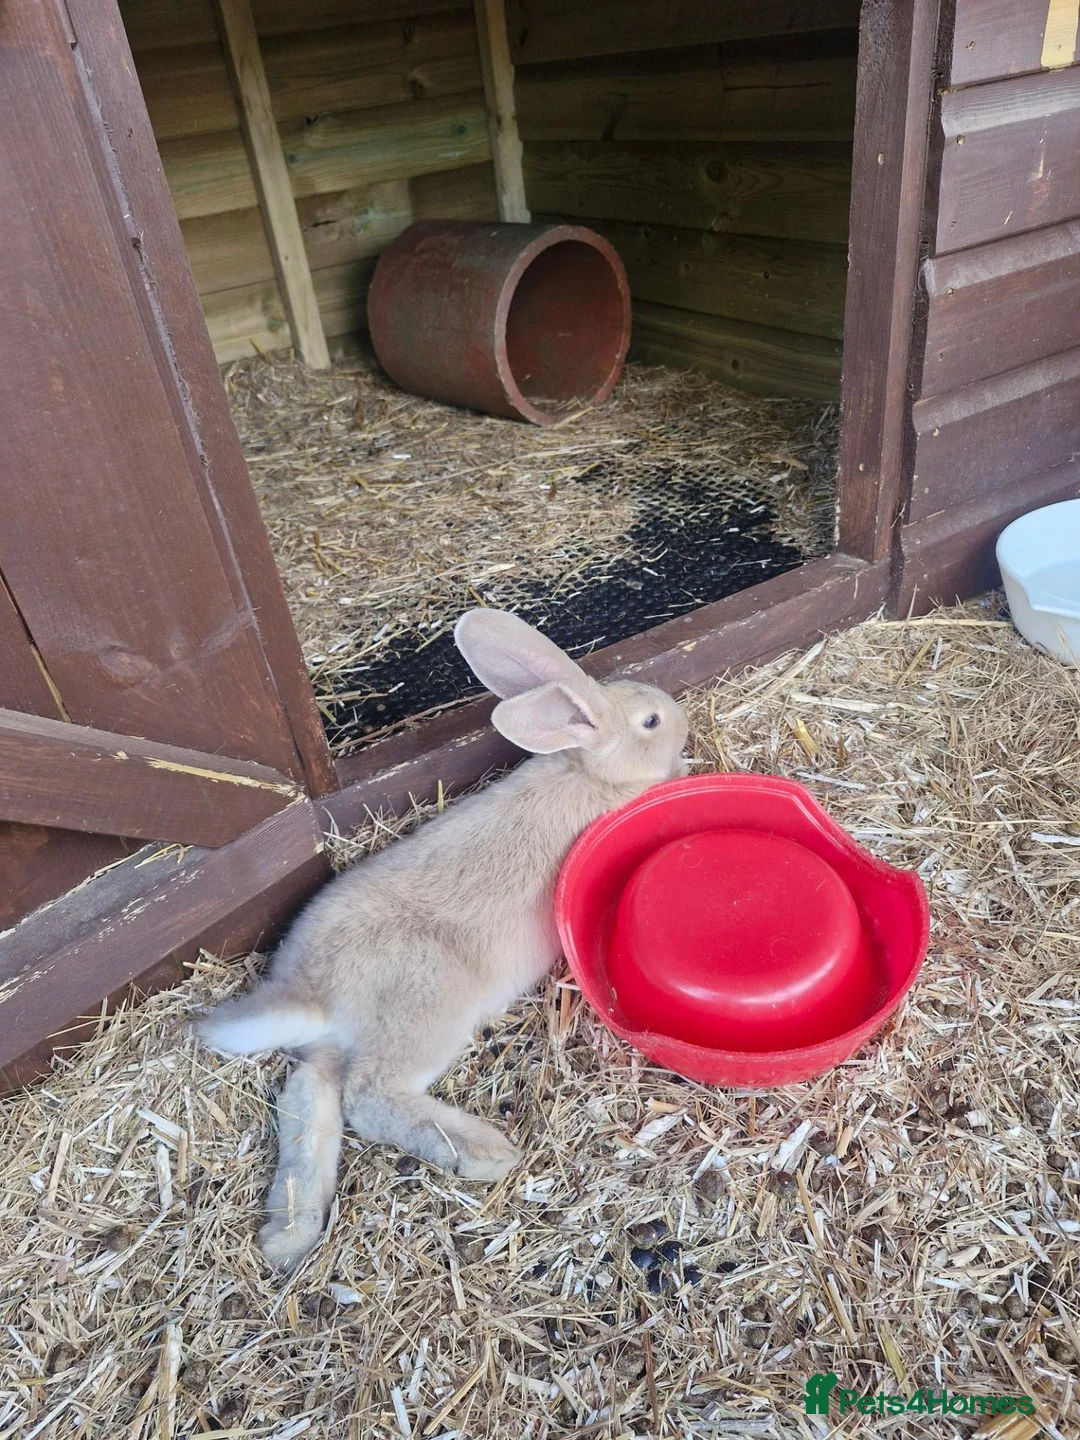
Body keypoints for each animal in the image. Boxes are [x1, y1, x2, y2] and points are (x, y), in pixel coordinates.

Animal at [198, 608, 689, 1269]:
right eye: (650, 722)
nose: (679, 716)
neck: (589, 765)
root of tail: (311, 991)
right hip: (424, 1016)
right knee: (368, 1096)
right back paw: (484, 1152)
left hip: (331, 1052)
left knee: (307, 1095)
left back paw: (288, 1234)